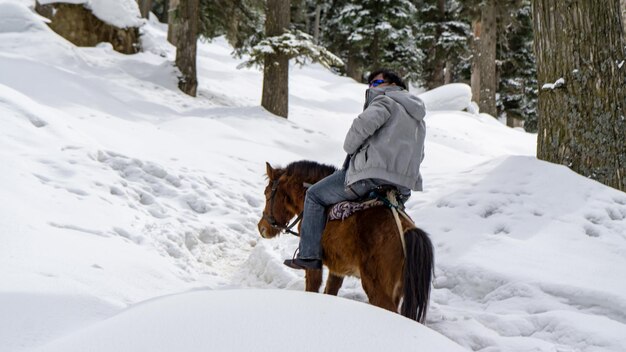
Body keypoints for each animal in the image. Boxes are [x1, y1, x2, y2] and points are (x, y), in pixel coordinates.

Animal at [256, 161, 432, 324]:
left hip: (378, 289)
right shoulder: (338, 269)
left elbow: (313, 287)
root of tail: (407, 230)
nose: (261, 228)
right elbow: (330, 290)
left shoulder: (313, 265)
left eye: (266, 193)